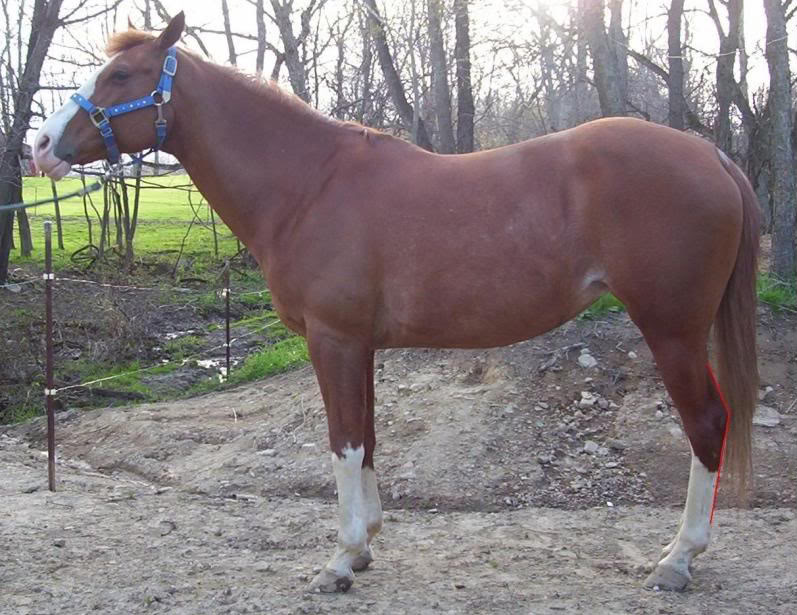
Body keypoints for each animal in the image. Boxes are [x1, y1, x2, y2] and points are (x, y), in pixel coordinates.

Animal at [33, 13, 759, 594]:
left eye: (121, 74)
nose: (40, 147)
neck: (309, 185)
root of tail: (712, 155)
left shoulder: (332, 339)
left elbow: (342, 441)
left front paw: (340, 558)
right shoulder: (359, 345)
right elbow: (368, 438)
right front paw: (364, 548)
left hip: (671, 329)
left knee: (706, 425)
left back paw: (676, 560)